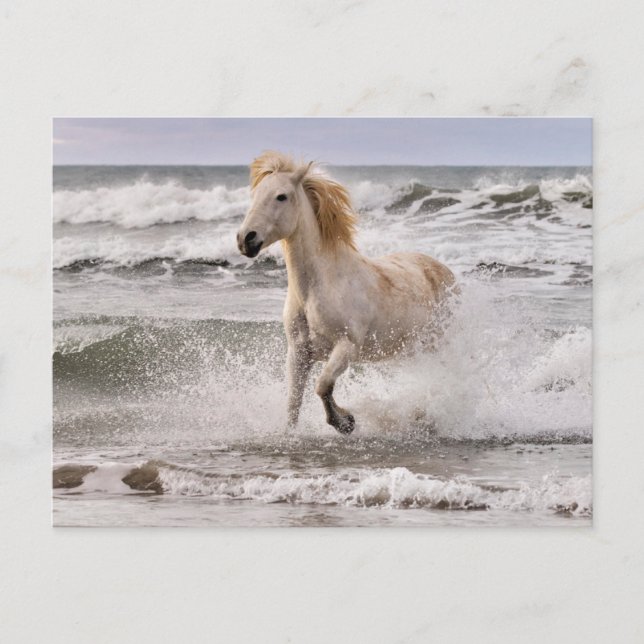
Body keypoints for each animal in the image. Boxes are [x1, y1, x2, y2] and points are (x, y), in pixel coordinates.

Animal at [236, 151, 457, 435]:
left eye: (281, 196)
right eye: (255, 195)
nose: (246, 239)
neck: (316, 289)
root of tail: (444, 271)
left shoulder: (346, 347)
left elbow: (322, 385)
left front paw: (345, 422)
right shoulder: (298, 353)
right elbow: (294, 401)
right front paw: (293, 433)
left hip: (439, 343)